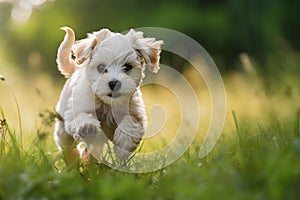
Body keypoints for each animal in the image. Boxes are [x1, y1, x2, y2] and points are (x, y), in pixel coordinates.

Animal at [52, 26, 163, 163]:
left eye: (127, 67)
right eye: (100, 67)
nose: (114, 83)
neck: (107, 104)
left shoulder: (136, 114)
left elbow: (130, 123)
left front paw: (122, 148)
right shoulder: (76, 108)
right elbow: (81, 116)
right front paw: (87, 127)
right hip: (62, 128)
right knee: (65, 144)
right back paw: (74, 159)